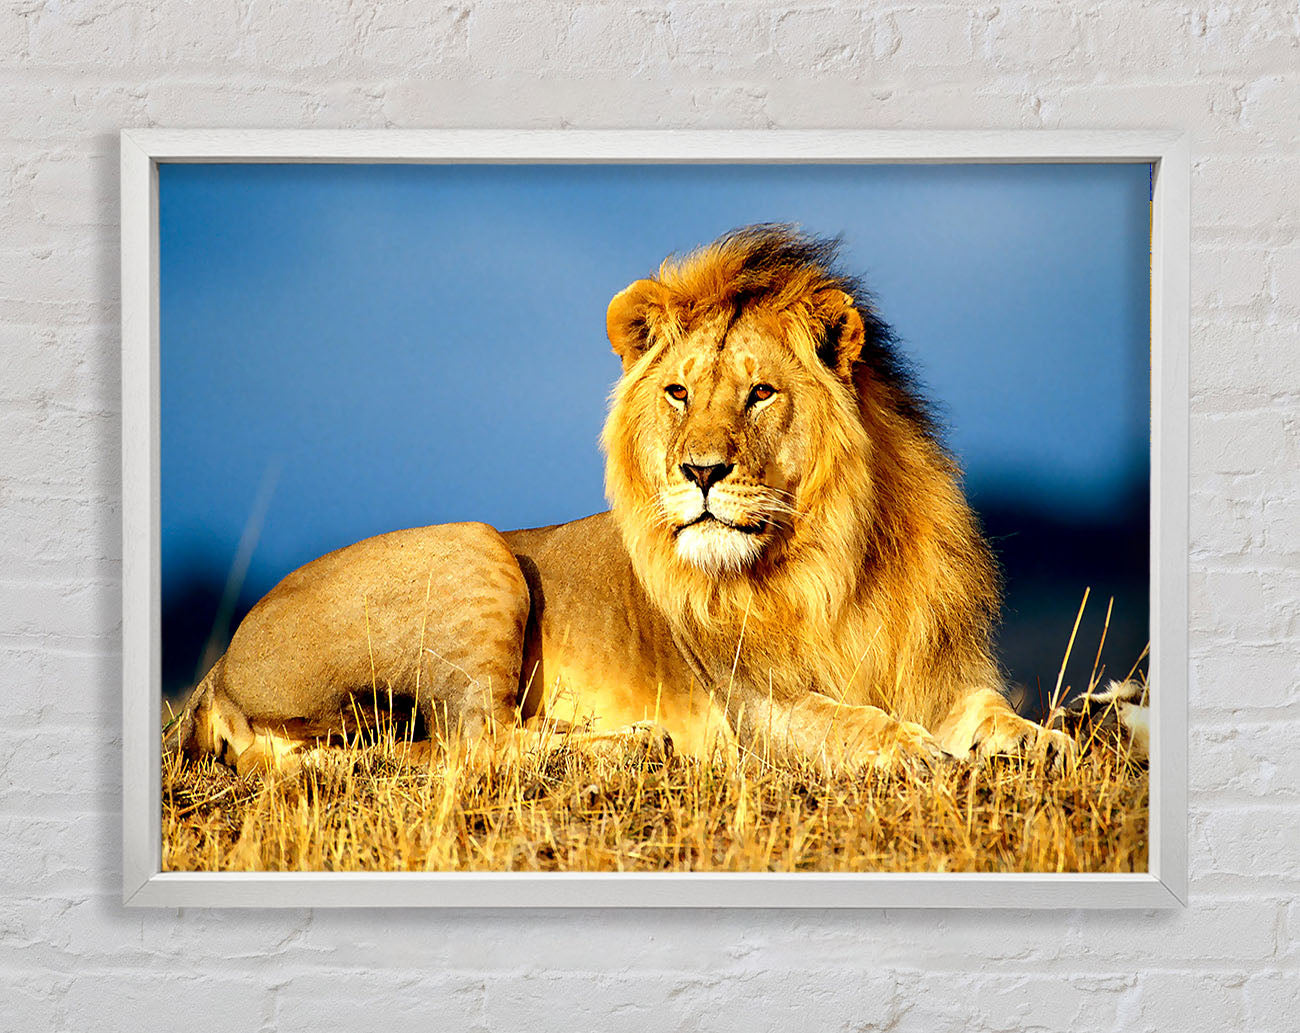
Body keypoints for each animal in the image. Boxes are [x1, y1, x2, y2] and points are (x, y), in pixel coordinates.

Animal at [164, 224, 1074, 776]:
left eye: (761, 393)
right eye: (678, 392)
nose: (700, 471)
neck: (835, 559)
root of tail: (216, 671)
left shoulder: (936, 668)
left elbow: (990, 707)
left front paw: (1045, 740)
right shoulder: (757, 709)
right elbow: (852, 723)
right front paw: (915, 752)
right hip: (474, 547)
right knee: (474, 744)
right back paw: (632, 744)